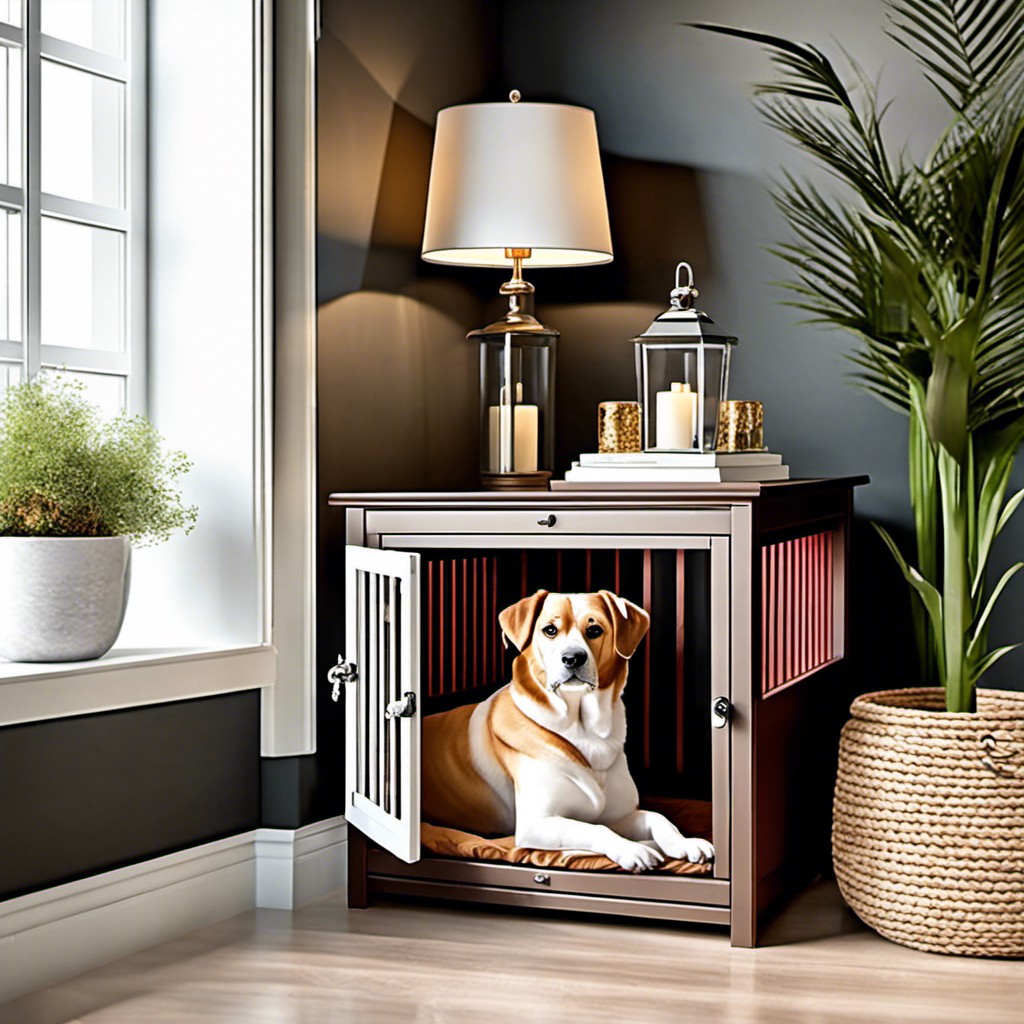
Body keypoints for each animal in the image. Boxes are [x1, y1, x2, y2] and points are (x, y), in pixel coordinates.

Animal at [419, 585, 716, 872]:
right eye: (550, 630)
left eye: (594, 630)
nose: (573, 658)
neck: (583, 729)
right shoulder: (537, 824)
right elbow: (598, 829)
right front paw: (633, 850)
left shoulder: (620, 815)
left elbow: (657, 818)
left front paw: (684, 843)